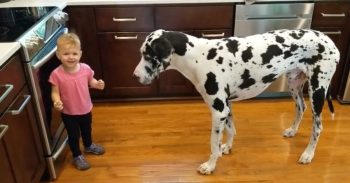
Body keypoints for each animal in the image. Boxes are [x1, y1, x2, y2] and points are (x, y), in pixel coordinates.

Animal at [133, 29, 338, 175]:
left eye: (147, 55)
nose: (135, 76)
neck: (198, 56)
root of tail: (330, 40)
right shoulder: (226, 106)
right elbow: (231, 129)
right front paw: (227, 147)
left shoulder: (218, 110)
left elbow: (213, 142)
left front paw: (210, 165)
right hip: (295, 84)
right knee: (301, 108)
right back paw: (292, 131)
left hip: (317, 90)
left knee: (317, 126)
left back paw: (308, 154)